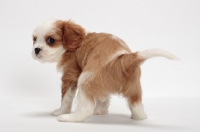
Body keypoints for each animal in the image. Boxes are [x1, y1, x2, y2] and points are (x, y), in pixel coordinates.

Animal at [31, 19, 178, 122]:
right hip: (133, 86)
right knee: (136, 104)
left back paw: (69, 118)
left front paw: (61, 111)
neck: (78, 42)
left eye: (50, 40)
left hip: (85, 79)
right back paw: (139, 116)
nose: (36, 49)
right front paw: (101, 111)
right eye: (34, 40)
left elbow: (66, 98)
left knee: (86, 109)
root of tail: (123, 59)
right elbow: (103, 97)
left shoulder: (70, 74)